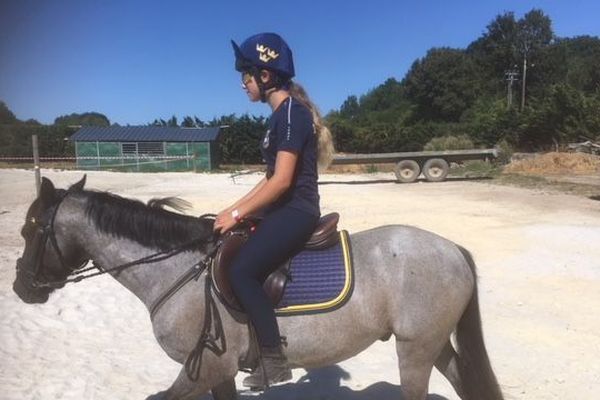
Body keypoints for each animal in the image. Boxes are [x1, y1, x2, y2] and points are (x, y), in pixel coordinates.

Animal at [11, 177, 504, 400]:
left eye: (31, 228)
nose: (21, 288)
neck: (178, 269)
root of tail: (451, 248)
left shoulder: (203, 369)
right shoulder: (220, 372)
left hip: (415, 349)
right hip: (430, 343)